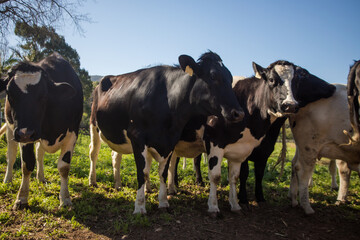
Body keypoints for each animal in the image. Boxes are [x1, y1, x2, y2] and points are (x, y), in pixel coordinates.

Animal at [0, 53, 83, 210]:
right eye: (9, 93)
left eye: (43, 95)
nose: (25, 133)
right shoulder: (23, 135)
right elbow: (27, 164)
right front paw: (21, 198)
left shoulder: (72, 134)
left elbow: (64, 167)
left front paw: (65, 199)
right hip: (10, 128)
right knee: (11, 156)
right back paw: (7, 180)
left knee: (39, 153)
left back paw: (41, 177)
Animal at [88, 51, 243, 215]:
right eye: (213, 76)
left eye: (230, 78)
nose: (239, 113)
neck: (167, 101)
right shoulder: (137, 137)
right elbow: (142, 173)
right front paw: (140, 207)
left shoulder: (170, 140)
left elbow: (162, 172)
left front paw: (163, 202)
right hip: (94, 125)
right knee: (94, 153)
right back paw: (92, 181)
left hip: (119, 137)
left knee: (115, 157)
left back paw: (118, 184)